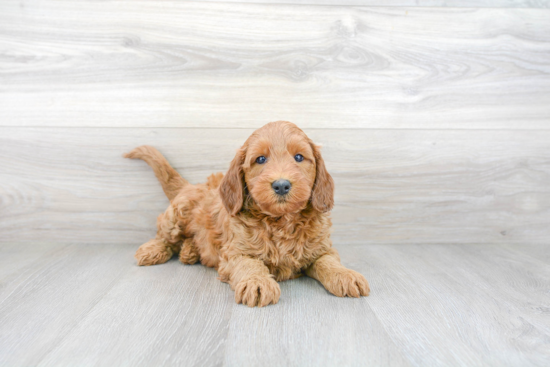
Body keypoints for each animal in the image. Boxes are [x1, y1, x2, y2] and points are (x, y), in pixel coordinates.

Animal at [125, 121, 370, 308]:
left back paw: (190, 251)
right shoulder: (235, 253)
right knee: (165, 235)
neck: (281, 220)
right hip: (177, 213)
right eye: (260, 159)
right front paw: (258, 282)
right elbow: (249, 264)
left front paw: (345, 275)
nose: (281, 185)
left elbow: (329, 261)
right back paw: (154, 250)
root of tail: (191, 185)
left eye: (299, 157)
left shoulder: (321, 248)